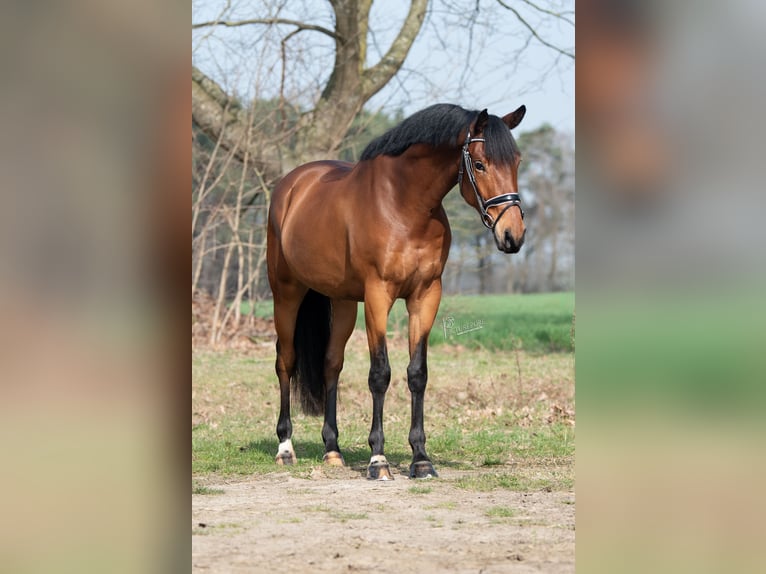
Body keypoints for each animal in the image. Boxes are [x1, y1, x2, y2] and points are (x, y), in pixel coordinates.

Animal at [267, 103, 526, 480]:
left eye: (517, 161)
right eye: (480, 164)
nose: (513, 235)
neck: (405, 205)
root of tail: (292, 185)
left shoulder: (425, 296)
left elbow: (417, 374)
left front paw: (421, 459)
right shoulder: (378, 295)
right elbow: (380, 374)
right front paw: (379, 459)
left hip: (342, 302)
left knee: (332, 364)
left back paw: (332, 450)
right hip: (287, 292)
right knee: (285, 361)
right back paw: (285, 448)